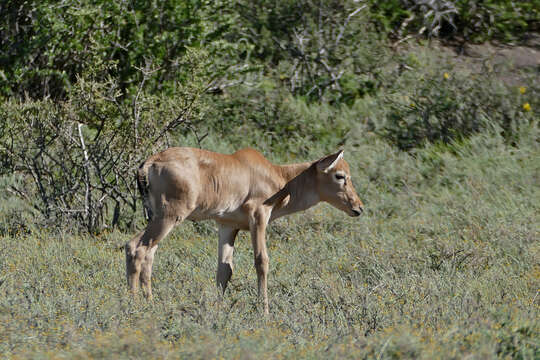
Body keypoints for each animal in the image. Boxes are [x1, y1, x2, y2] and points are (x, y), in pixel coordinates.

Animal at [125, 148, 362, 314]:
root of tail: (149, 164)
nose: (358, 208)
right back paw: (135, 306)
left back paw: (150, 303)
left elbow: (224, 269)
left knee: (149, 253)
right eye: (340, 175)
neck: (276, 175)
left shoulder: (228, 226)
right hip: (169, 217)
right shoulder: (258, 216)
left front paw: (219, 310)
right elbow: (261, 261)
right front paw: (264, 312)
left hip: (157, 218)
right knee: (135, 247)